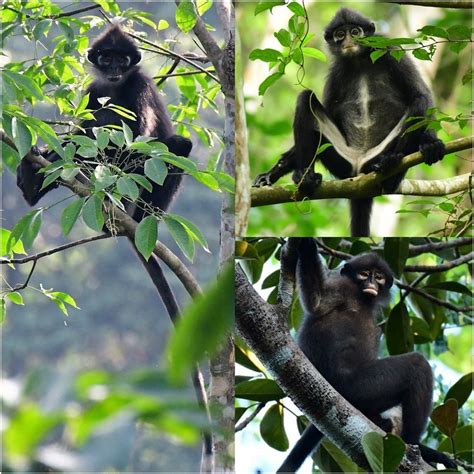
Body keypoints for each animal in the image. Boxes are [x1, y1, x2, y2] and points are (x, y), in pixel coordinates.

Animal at [16, 23, 212, 460]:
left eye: (123, 59)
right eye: (106, 59)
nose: (115, 69)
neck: (116, 85)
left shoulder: (140, 85)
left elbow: (140, 133)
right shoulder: (95, 87)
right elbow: (83, 124)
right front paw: (45, 156)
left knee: (176, 145)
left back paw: (133, 213)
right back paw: (37, 183)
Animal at [254, 8, 446, 236]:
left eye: (355, 31)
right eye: (340, 34)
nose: (348, 41)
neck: (359, 60)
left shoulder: (389, 50)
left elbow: (421, 96)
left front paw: (430, 143)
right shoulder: (337, 70)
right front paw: (272, 173)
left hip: (376, 154)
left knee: (417, 104)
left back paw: (390, 165)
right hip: (341, 159)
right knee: (304, 98)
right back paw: (306, 178)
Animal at [276, 239, 458, 472]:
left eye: (378, 276)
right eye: (364, 274)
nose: (372, 282)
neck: (361, 299)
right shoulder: (342, 289)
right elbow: (317, 300)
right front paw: (306, 244)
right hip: (358, 387)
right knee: (418, 365)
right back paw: (416, 447)